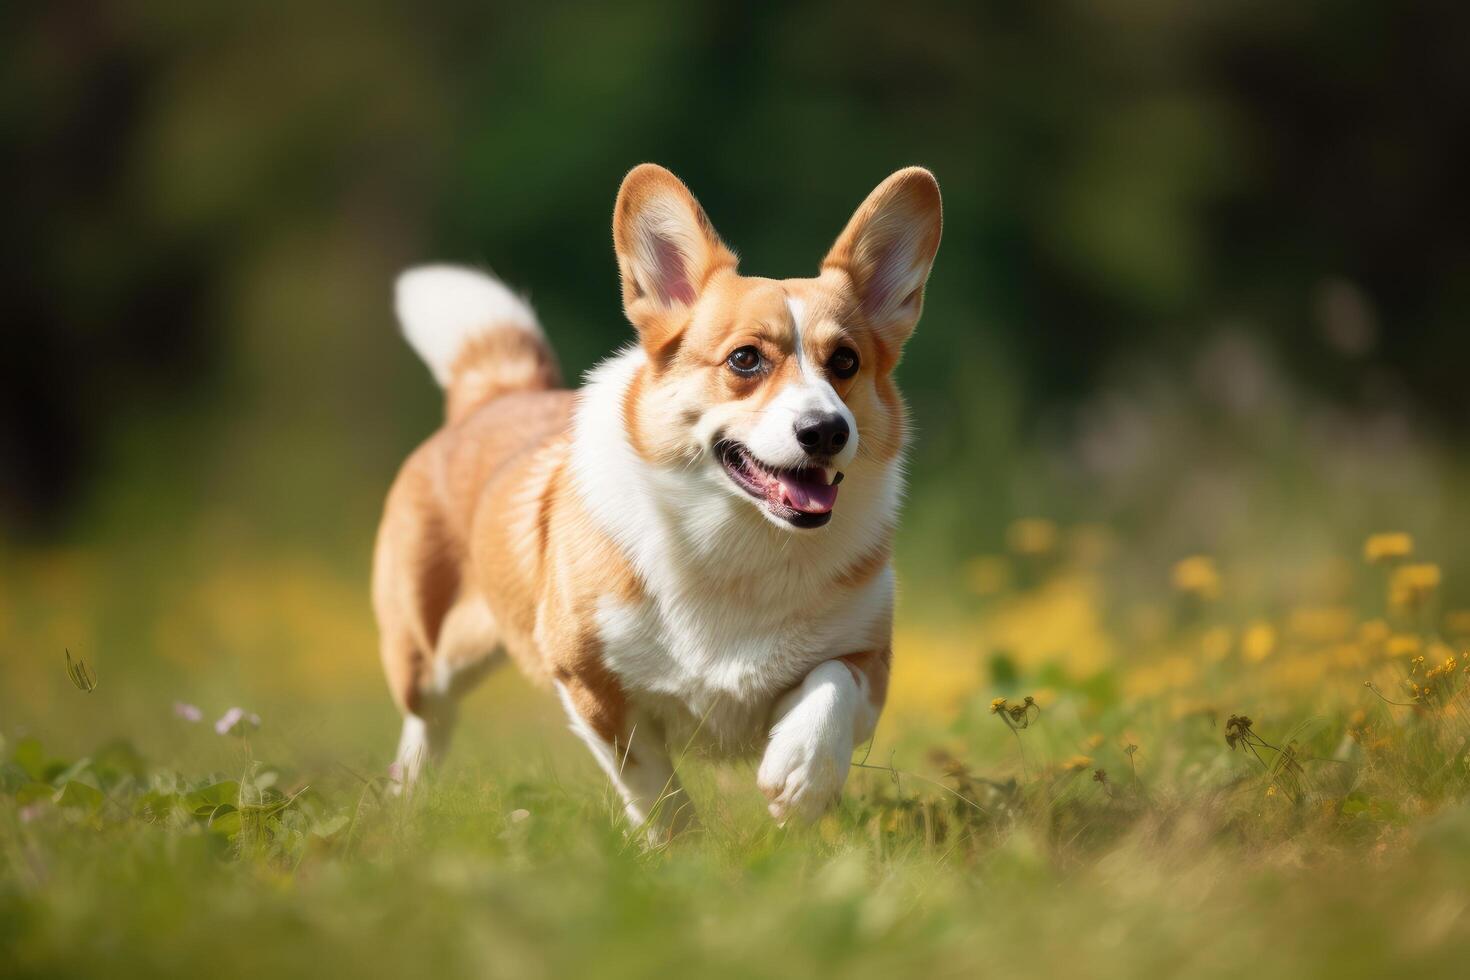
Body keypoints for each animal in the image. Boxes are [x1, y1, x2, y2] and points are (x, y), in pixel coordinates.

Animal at [376, 163, 940, 834]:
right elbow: (652, 784)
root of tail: (497, 393)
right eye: (745, 359)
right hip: (428, 656)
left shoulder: (870, 661)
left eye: (847, 362)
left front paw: (800, 775)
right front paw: (680, 847)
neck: (740, 541)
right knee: (425, 722)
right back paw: (406, 803)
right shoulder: (591, 683)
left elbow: (831, 684)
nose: (827, 431)